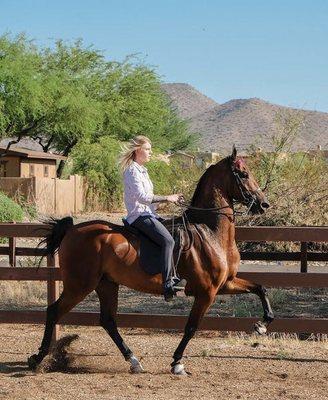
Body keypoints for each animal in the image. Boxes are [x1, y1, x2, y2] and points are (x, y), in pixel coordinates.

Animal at [28, 147, 274, 376]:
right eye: (244, 173)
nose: (264, 204)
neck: (210, 232)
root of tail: (71, 230)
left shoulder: (225, 283)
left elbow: (260, 288)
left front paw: (261, 325)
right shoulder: (207, 292)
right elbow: (191, 327)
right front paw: (177, 363)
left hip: (106, 284)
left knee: (108, 321)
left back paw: (134, 361)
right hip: (80, 285)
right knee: (54, 311)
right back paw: (37, 358)